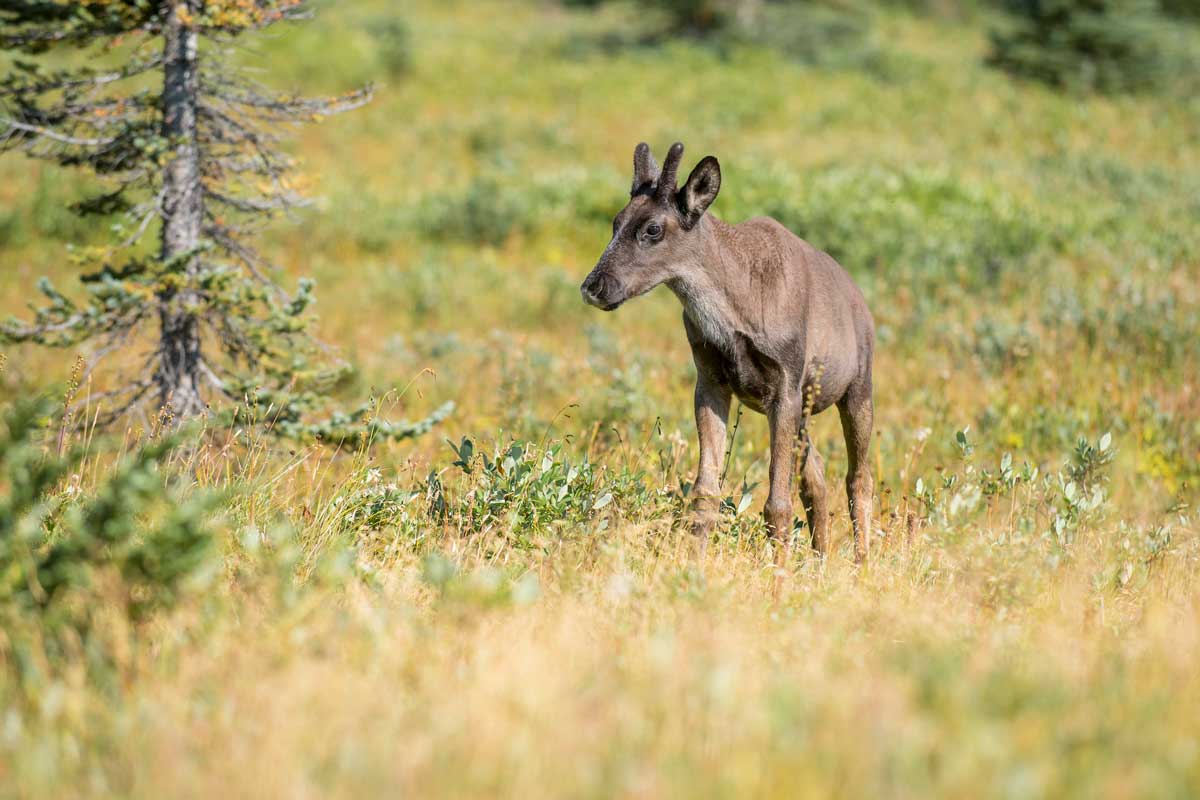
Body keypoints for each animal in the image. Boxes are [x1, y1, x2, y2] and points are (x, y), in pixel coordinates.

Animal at [580, 142, 876, 565]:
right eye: (616, 221)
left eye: (653, 228)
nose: (594, 287)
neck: (735, 309)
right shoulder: (711, 382)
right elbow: (706, 492)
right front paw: (696, 566)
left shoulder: (784, 384)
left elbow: (776, 504)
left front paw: (779, 576)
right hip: (805, 409)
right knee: (817, 478)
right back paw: (820, 562)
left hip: (857, 388)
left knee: (859, 478)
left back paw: (860, 565)